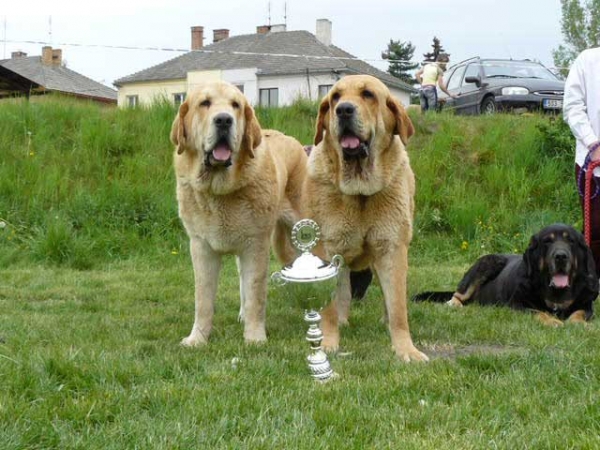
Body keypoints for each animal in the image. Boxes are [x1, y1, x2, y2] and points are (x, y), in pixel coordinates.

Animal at [412, 223, 600, 326]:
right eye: (547, 241)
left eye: (571, 241)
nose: (561, 256)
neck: (557, 293)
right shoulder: (516, 305)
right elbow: (538, 312)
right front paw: (553, 321)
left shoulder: (587, 305)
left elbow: (579, 313)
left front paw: (577, 323)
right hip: (488, 262)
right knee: (457, 295)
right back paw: (454, 304)